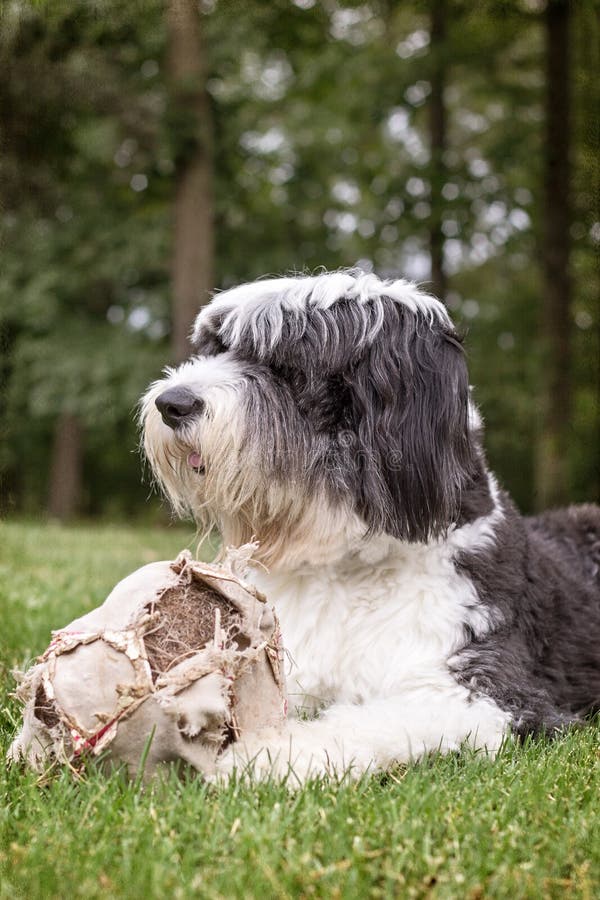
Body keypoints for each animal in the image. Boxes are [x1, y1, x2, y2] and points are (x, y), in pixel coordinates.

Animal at [142, 268, 600, 780]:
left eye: (282, 365)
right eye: (214, 347)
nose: (171, 403)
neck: (346, 569)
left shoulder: (487, 691)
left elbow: (360, 724)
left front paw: (264, 755)